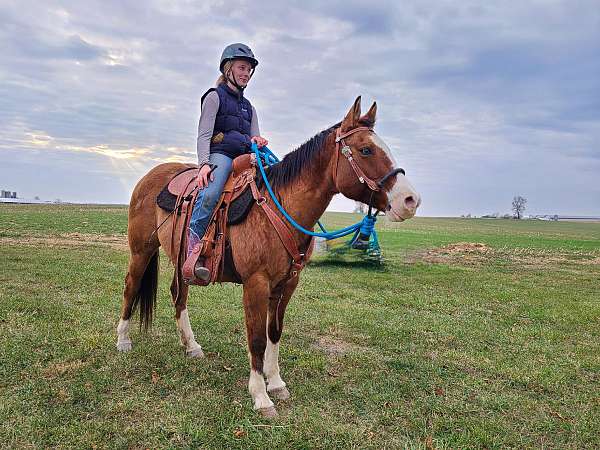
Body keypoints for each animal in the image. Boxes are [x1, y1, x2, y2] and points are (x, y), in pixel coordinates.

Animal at [115, 96, 420, 416]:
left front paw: (276, 383)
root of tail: (148, 177)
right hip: (141, 251)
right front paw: (260, 396)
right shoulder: (256, 283)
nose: (410, 200)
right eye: (365, 150)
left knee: (178, 294)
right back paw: (123, 340)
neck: (281, 207)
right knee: (131, 287)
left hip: (182, 260)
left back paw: (191, 345)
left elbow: (274, 332)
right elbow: (257, 338)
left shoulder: (287, 283)